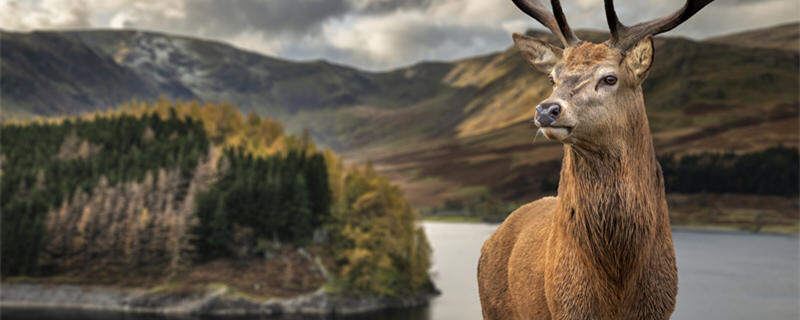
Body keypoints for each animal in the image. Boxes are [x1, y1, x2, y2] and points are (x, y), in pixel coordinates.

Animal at [478, 0, 716, 318]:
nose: (547, 110)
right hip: (491, 307)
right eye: (553, 77)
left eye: (609, 78)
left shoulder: (660, 308)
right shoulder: (567, 307)